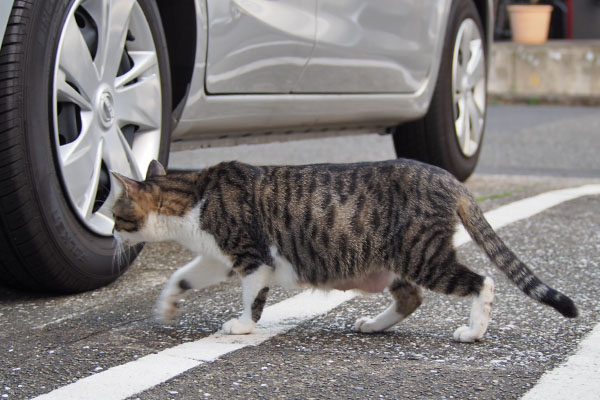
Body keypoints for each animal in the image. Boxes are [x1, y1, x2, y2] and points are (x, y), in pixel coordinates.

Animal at [112, 158, 576, 342]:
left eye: (115, 215)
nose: (112, 235)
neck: (194, 197)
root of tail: (448, 177)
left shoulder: (252, 258)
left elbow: (252, 299)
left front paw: (242, 326)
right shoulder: (216, 257)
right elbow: (180, 276)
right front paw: (167, 305)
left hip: (420, 253)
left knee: (483, 281)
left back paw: (474, 330)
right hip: (396, 260)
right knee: (411, 297)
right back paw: (373, 325)